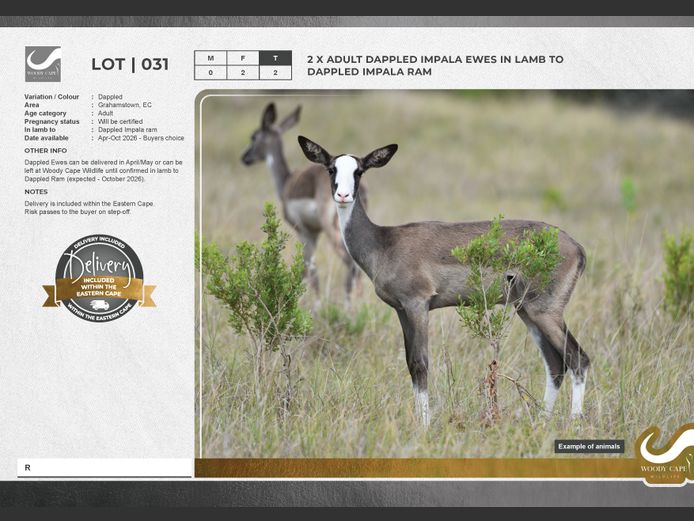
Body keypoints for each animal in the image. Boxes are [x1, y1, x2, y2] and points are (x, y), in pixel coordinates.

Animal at [241, 103, 362, 305]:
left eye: (254, 136)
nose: (245, 158)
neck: (287, 181)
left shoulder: (303, 231)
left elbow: (309, 269)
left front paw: (316, 306)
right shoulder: (314, 233)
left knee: (350, 262)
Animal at [298, 135, 590, 426]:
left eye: (358, 171)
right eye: (331, 169)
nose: (343, 196)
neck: (383, 243)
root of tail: (576, 246)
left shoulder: (418, 305)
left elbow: (420, 363)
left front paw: (425, 426)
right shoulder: (402, 310)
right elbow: (410, 364)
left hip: (545, 313)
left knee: (578, 359)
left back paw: (574, 421)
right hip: (527, 312)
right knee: (556, 364)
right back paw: (541, 422)